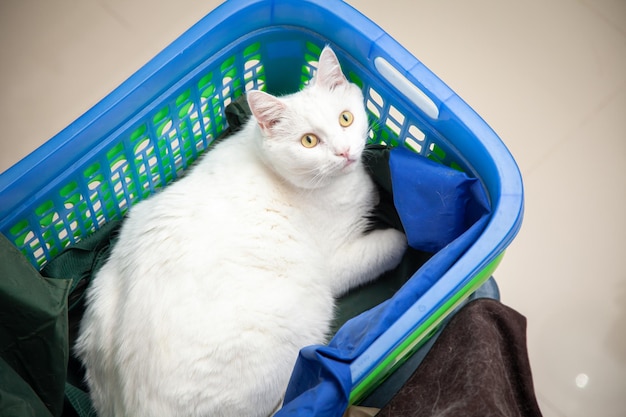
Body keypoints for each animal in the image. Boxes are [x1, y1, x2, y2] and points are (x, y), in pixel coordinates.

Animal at [75, 47, 408, 416]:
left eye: (345, 119)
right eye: (309, 141)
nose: (345, 152)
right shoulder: (337, 262)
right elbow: (383, 249)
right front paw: (403, 239)